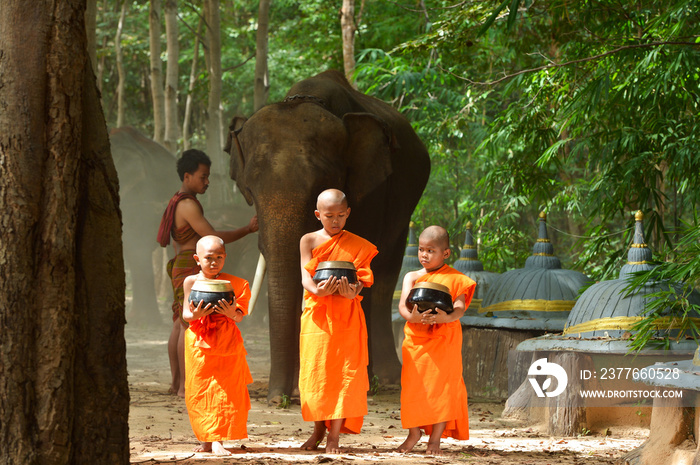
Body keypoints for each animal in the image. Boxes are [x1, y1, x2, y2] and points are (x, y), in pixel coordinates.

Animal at [227, 68, 430, 398]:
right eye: (251, 190)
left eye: (321, 186)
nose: (277, 398)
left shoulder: (371, 190)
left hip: (406, 204)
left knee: (386, 273)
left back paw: (387, 379)